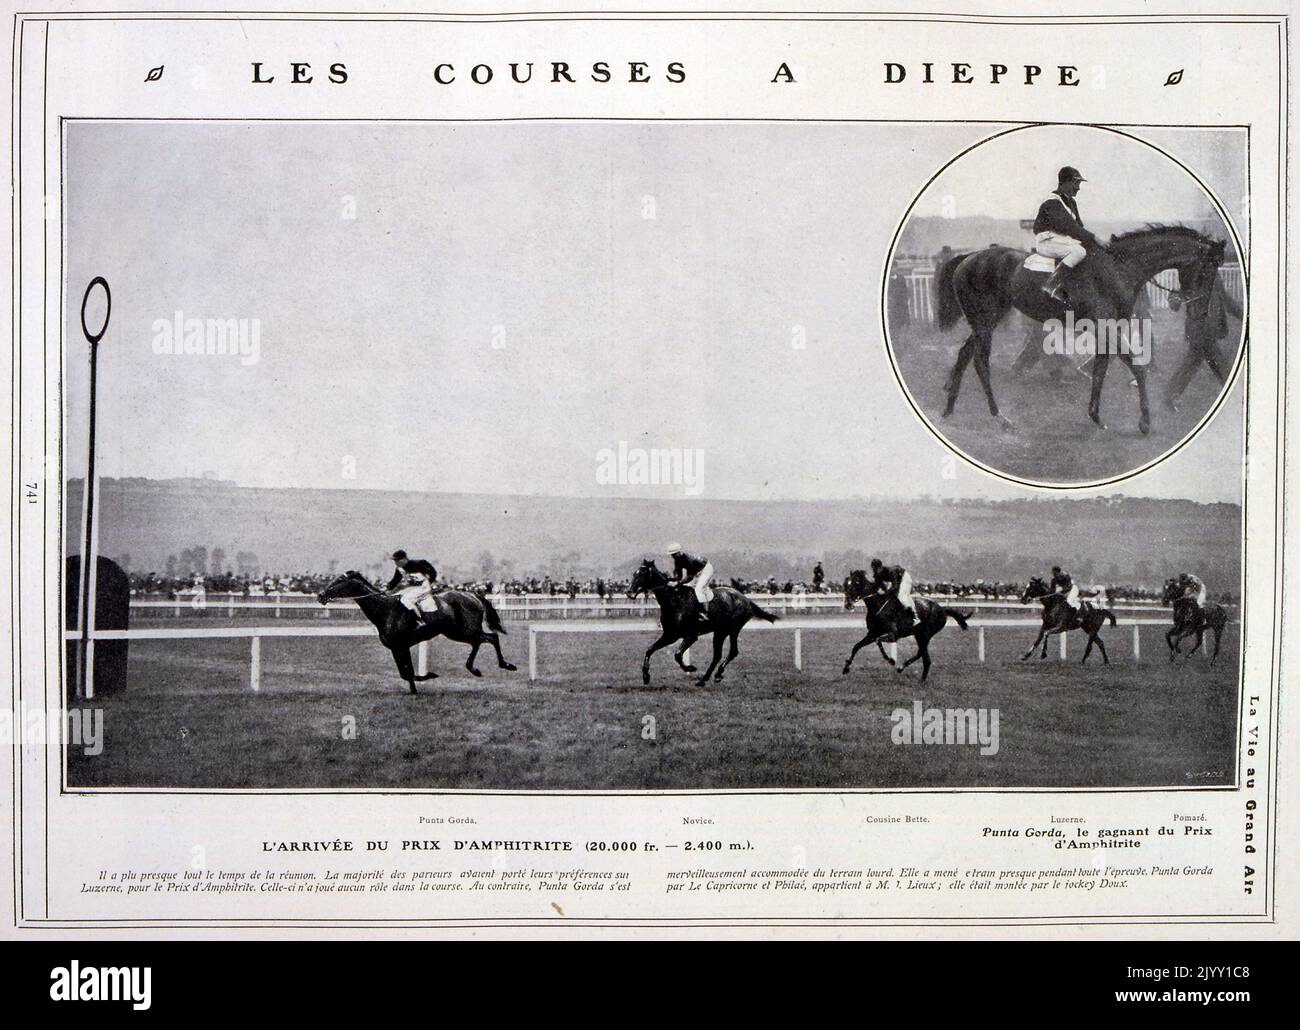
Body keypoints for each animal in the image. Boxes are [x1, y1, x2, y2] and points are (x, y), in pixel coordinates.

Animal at [317, 567, 514, 697]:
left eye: (339, 581)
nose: (320, 595)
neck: (385, 610)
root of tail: (473, 594)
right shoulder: (397, 648)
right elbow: (405, 672)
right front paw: (415, 689)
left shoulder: (400, 646)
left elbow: (408, 672)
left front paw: (427, 676)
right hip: (457, 632)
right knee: (479, 641)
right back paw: (474, 668)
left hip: (464, 631)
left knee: (491, 637)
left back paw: (505, 664)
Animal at [626, 559, 774, 686]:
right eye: (634, 573)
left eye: (643, 573)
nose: (629, 592)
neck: (674, 600)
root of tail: (746, 599)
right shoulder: (670, 635)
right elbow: (649, 650)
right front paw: (646, 676)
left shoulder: (691, 636)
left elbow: (677, 655)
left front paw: (690, 668)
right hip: (720, 632)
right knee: (717, 655)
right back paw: (705, 679)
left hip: (732, 630)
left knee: (732, 652)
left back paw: (717, 674)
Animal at [837, 572, 972, 681]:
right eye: (845, 586)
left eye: (852, 586)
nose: (848, 605)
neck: (878, 606)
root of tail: (943, 609)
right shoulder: (872, 633)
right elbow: (856, 646)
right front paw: (846, 668)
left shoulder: (893, 635)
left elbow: (878, 641)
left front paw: (891, 660)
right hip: (919, 635)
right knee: (922, 655)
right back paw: (907, 671)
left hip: (926, 634)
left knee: (925, 657)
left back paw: (915, 676)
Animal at [935, 223, 1227, 431]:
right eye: (1208, 269)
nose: (1199, 310)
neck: (1117, 268)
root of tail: (969, 257)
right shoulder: (1106, 326)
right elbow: (1135, 366)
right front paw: (1145, 422)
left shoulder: (1107, 329)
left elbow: (1101, 369)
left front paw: (1095, 416)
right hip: (985, 321)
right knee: (980, 362)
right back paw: (999, 417)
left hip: (986, 320)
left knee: (965, 353)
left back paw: (949, 408)